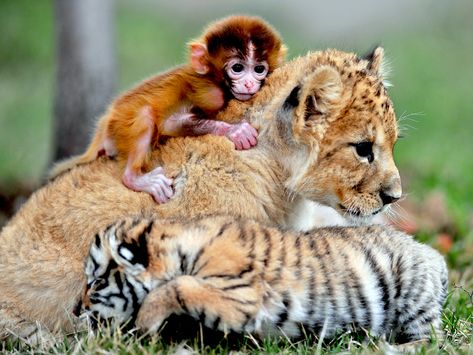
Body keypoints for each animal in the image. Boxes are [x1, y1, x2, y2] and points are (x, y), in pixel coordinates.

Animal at [50, 16, 284, 203]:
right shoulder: (209, 94)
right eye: (237, 68)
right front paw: (236, 130)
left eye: (259, 69)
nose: (249, 84)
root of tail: (107, 120)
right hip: (121, 124)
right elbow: (170, 124)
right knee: (144, 116)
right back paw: (133, 178)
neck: (216, 81)